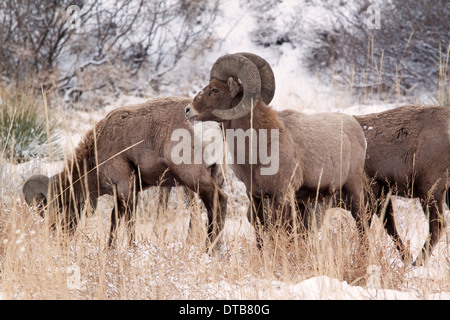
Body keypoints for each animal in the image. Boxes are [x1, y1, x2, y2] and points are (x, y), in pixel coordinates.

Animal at [22, 97, 227, 248]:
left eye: (58, 211)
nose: (59, 239)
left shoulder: (125, 187)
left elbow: (129, 221)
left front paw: (130, 248)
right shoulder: (125, 191)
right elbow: (115, 219)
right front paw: (110, 248)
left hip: (192, 177)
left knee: (218, 201)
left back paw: (209, 249)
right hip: (213, 175)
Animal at [185, 52, 368, 242]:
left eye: (215, 90)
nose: (188, 110)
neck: (257, 149)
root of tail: (356, 127)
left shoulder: (282, 194)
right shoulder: (255, 195)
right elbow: (260, 232)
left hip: (353, 188)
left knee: (361, 222)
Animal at [356, 105, 450, 264]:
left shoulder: (369, 186)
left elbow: (365, 226)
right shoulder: (383, 190)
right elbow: (388, 224)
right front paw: (406, 256)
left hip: (430, 186)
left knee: (438, 224)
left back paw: (419, 261)